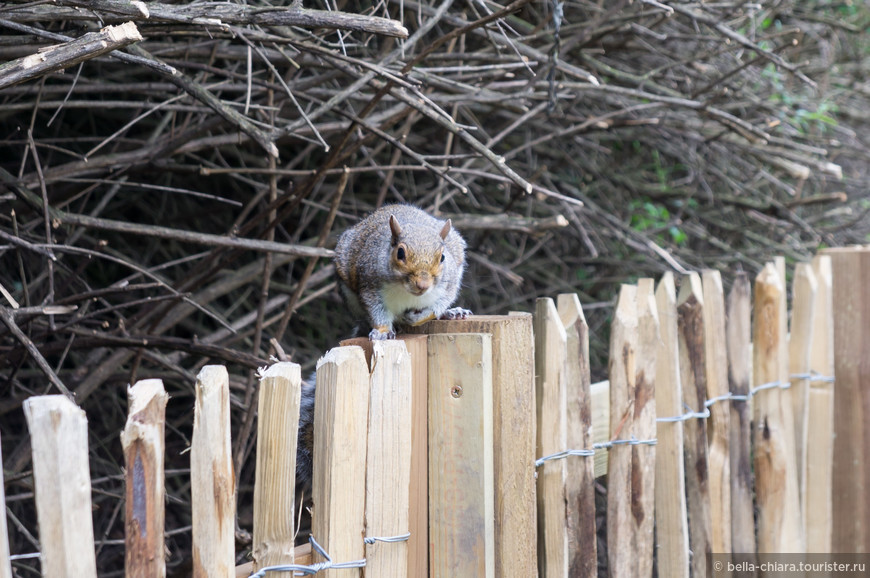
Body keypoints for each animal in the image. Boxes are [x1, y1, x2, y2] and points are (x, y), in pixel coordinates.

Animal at [294, 206, 474, 516]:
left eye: (442, 257)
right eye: (400, 253)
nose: (422, 284)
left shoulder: (449, 280)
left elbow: (440, 300)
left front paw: (433, 313)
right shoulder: (370, 285)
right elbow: (378, 311)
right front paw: (381, 331)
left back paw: (451, 313)